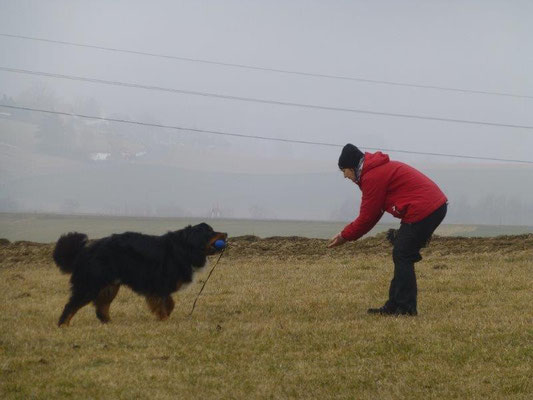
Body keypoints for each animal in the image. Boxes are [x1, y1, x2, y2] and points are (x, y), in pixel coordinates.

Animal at [53, 223, 227, 326]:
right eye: (210, 232)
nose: (225, 233)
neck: (184, 247)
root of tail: (84, 251)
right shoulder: (159, 284)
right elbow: (164, 303)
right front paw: (164, 319)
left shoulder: (160, 287)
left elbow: (170, 303)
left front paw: (165, 316)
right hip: (91, 284)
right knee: (71, 305)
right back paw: (63, 325)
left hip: (110, 286)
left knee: (101, 307)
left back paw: (109, 322)